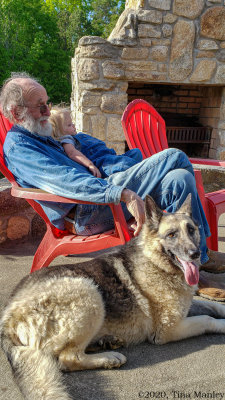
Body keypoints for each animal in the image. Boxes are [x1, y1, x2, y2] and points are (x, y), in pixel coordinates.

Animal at [1, 195, 225, 400]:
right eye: (171, 234)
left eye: (191, 230)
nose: (195, 254)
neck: (156, 262)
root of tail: (7, 317)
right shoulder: (167, 330)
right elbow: (207, 319)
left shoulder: (186, 306)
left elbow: (212, 307)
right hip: (89, 292)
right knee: (67, 358)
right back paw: (109, 358)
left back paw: (106, 342)